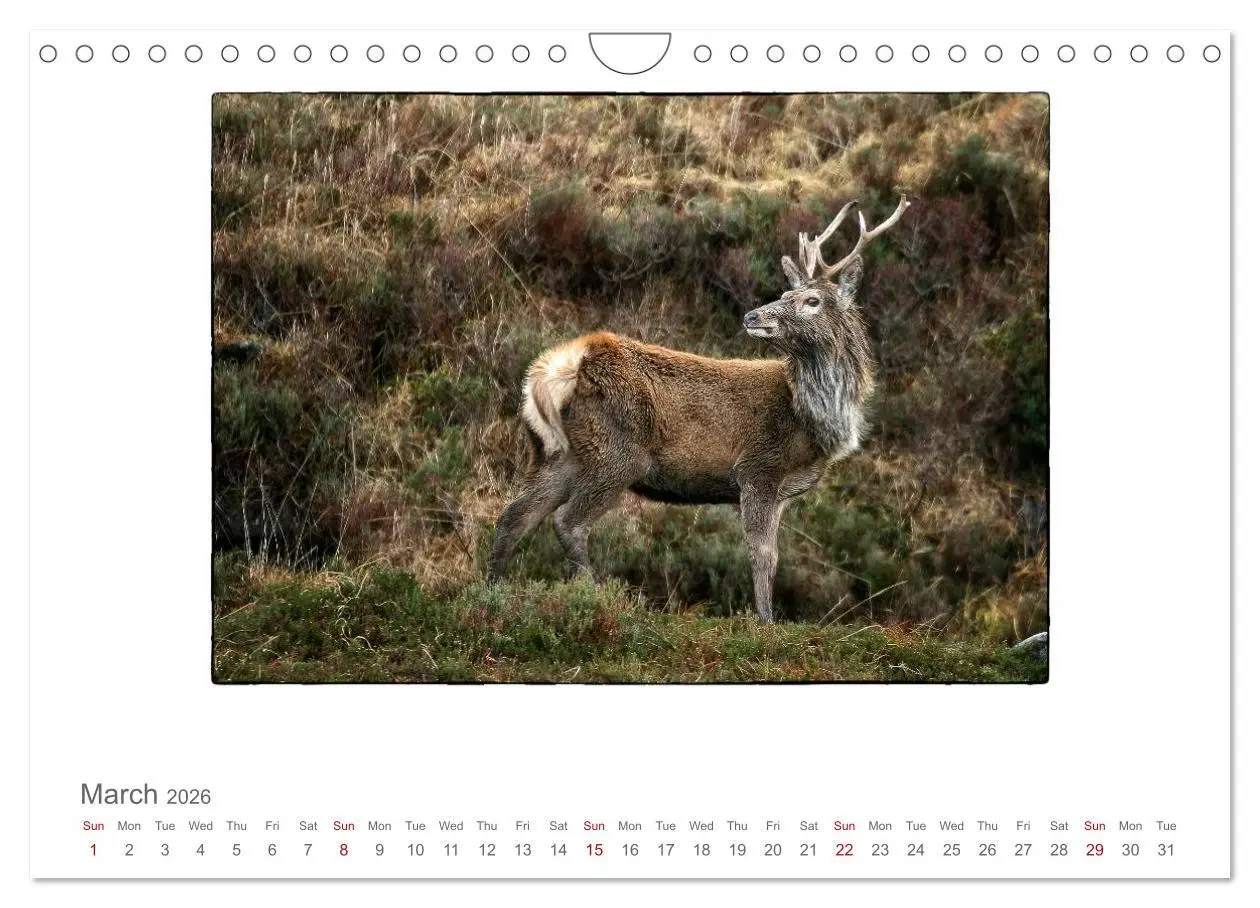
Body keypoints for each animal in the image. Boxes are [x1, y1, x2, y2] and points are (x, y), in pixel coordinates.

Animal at [486, 196, 910, 622]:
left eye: (812, 300)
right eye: (786, 295)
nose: (751, 316)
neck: (811, 421)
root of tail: (564, 364)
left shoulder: (783, 491)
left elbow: (774, 557)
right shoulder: (758, 468)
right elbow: (762, 554)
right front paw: (766, 622)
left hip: (560, 453)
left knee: (514, 517)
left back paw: (492, 594)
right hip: (617, 453)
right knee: (567, 522)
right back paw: (595, 598)